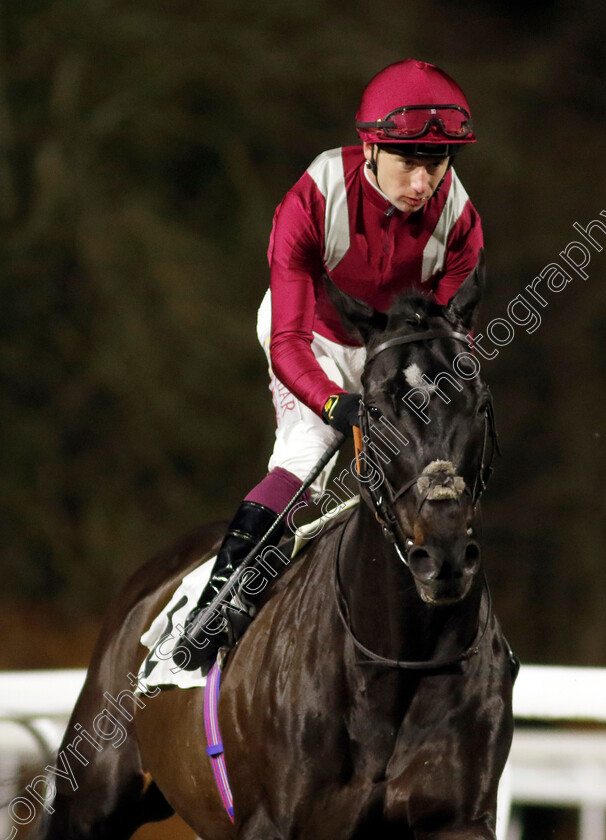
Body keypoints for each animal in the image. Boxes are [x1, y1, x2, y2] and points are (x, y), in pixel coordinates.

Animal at [25, 258, 516, 840]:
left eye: (480, 404)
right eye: (374, 411)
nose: (442, 555)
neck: (398, 657)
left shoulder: (458, 819)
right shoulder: (273, 822)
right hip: (91, 795)